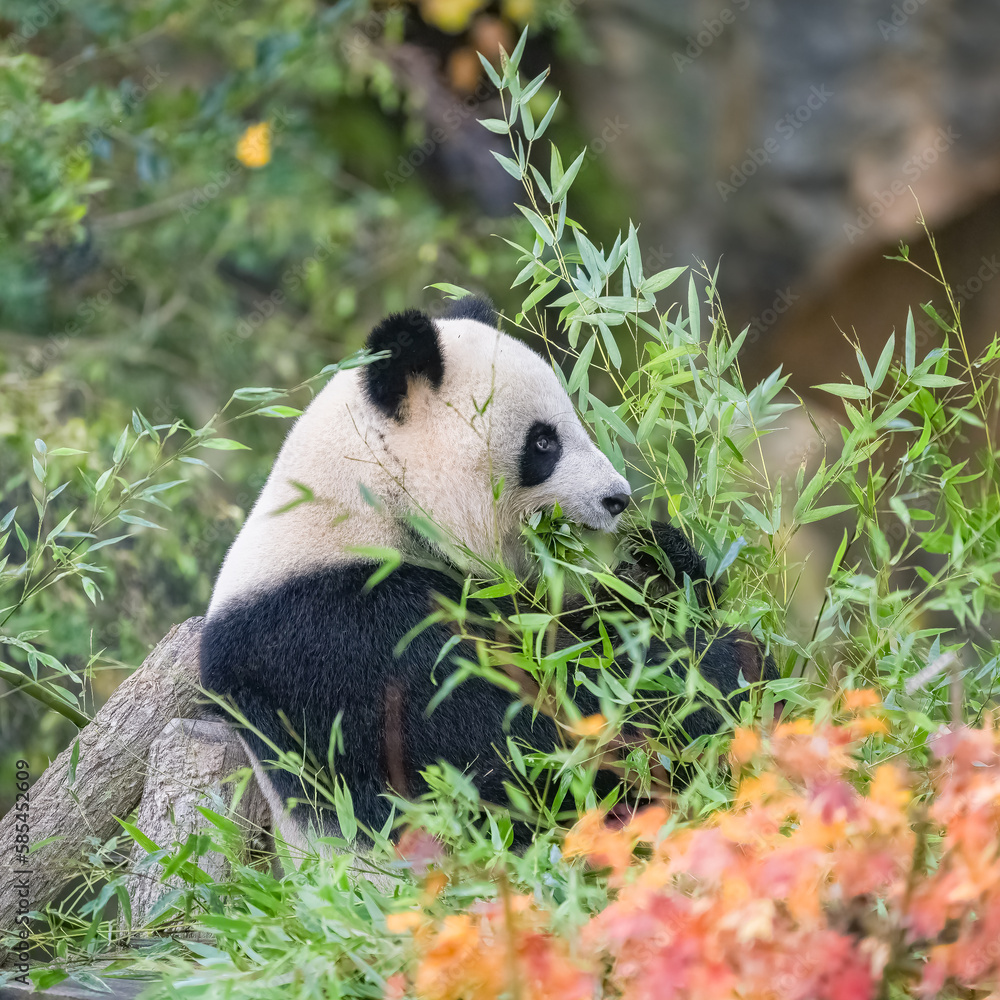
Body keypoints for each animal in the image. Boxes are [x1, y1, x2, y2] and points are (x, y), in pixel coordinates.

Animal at [200, 296, 774, 850]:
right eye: (543, 442)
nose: (617, 499)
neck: (366, 503)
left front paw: (658, 564)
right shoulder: (344, 636)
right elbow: (531, 742)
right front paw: (724, 665)